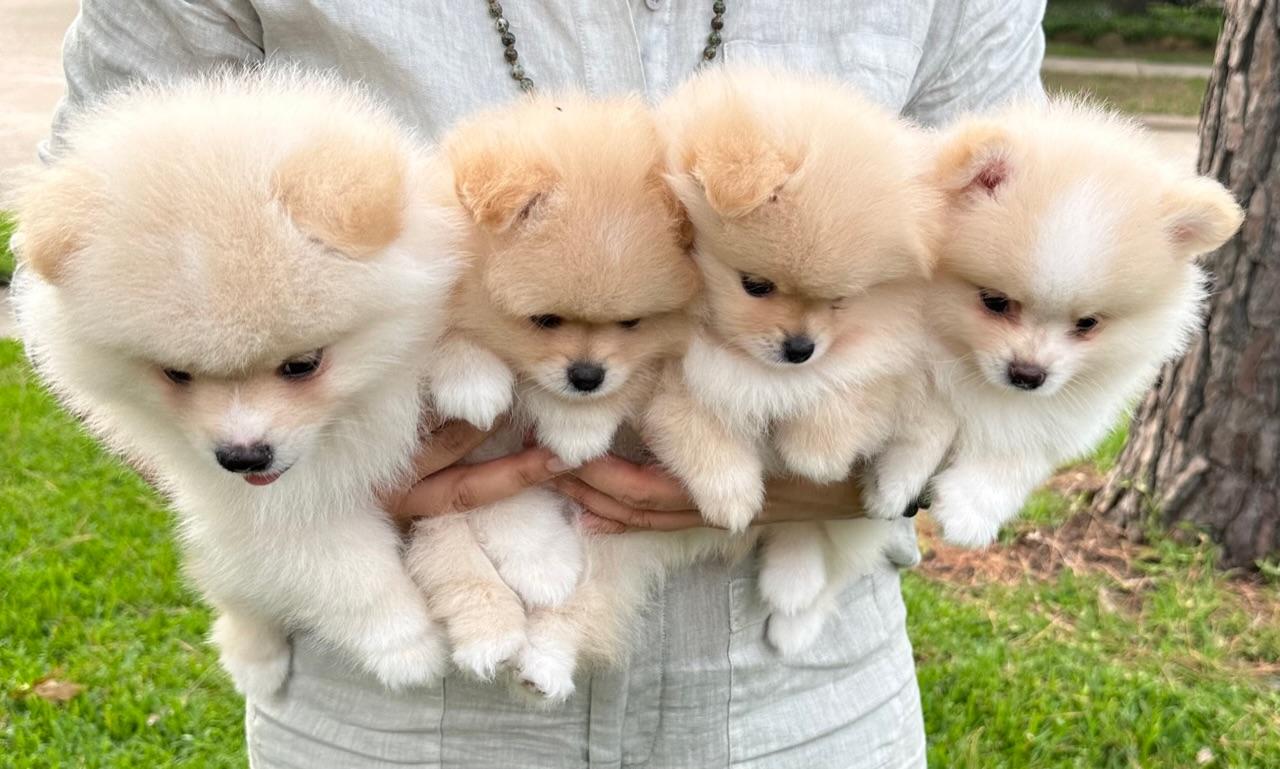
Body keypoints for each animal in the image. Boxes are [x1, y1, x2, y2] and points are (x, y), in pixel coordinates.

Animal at [11, 69, 463, 698]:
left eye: (302, 364)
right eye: (175, 374)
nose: (244, 456)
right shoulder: (254, 507)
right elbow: (339, 564)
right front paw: (406, 645)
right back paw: (254, 656)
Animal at [405, 93, 701, 700]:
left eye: (631, 322)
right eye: (544, 320)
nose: (586, 375)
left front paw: (578, 425)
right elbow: (447, 340)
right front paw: (474, 379)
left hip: (613, 548)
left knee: (579, 606)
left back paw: (542, 661)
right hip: (437, 517)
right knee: (454, 559)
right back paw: (495, 631)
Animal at [644, 68, 939, 655]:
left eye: (840, 300)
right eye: (756, 285)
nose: (800, 348)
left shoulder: (890, 348)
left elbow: (849, 391)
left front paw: (816, 451)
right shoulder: (666, 383)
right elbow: (694, 425)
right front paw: (732, 497)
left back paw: (794, 610)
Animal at [865, 100, 1245, 547]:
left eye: (1088, 323)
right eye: (995, 302)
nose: (1028, 375)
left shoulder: (1068, 410)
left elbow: (1022, 449)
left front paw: (971, 511)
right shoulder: (920, 360)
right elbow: (931, 413)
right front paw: (894, 483)